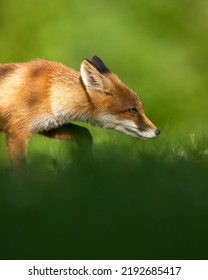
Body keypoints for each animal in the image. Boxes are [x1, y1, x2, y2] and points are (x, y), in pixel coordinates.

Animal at [0, 55, 161, 167]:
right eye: (132, 110)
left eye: (139, 108)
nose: (157, 131)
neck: (50, 92)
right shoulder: (17, 131)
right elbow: (20, 169)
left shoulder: (47, 125)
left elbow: (85, 133)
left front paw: (83, 164)